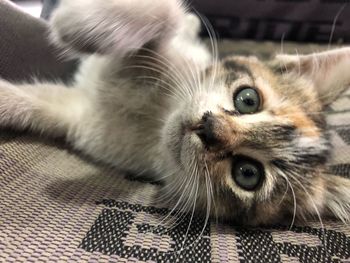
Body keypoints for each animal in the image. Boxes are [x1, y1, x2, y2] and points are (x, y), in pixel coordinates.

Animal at [0, 0, 350, 227]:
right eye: (248, 99)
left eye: (248, 174)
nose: (208, 128)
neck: (157, 116)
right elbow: (168, 12)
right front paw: (80, 22)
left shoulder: (78, 117)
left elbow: (38, 105)